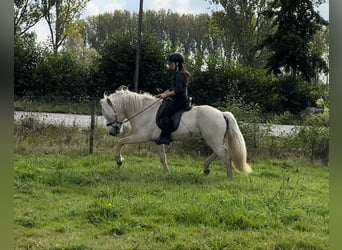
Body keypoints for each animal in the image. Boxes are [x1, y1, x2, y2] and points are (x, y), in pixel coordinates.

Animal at [99, 87, 251, 179]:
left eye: (108, 114)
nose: (112, 132)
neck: (144, 111)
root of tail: (222, 113)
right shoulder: (157, 141)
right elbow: (163, 157)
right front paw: (167, 173)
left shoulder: (141, 136)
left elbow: (121, 142)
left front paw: (119, 161)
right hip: (215, 140)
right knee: (220, 153)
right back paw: (206, 168)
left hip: (213, 140)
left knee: (225, 155)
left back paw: (229, 178)